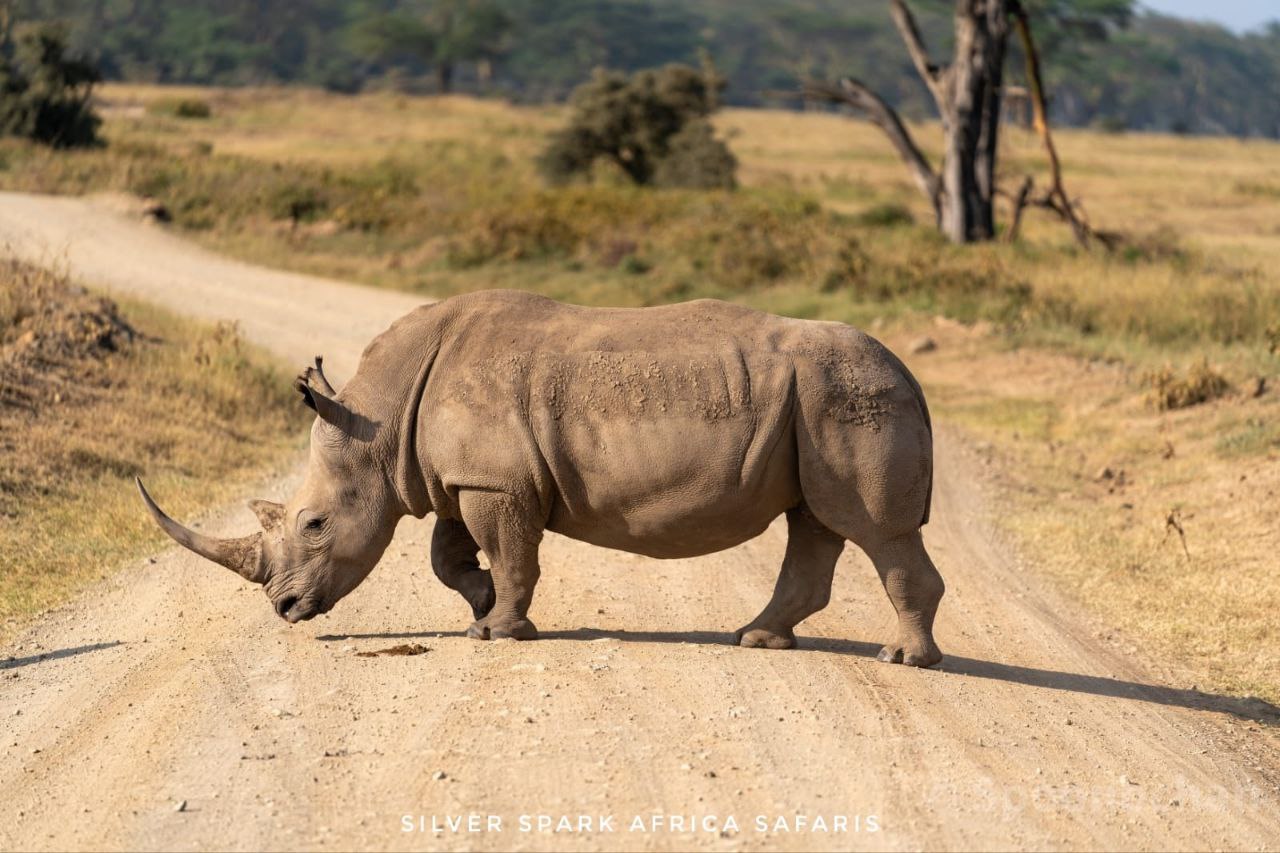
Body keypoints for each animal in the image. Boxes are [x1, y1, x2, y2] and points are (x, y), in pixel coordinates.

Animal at [135, 290, 947, 666]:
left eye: (313, 524)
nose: (284, 607)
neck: (382, 421)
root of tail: (913, 374)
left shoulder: (495, 484)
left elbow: (513, 554)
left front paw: (500, 631)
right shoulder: (466, 478)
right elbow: (448, 555)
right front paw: (480, 607)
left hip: (850, 399)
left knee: (875, 529)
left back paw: (903, 659)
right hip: (818, 404)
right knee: (817, 523)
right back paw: (757, 639)